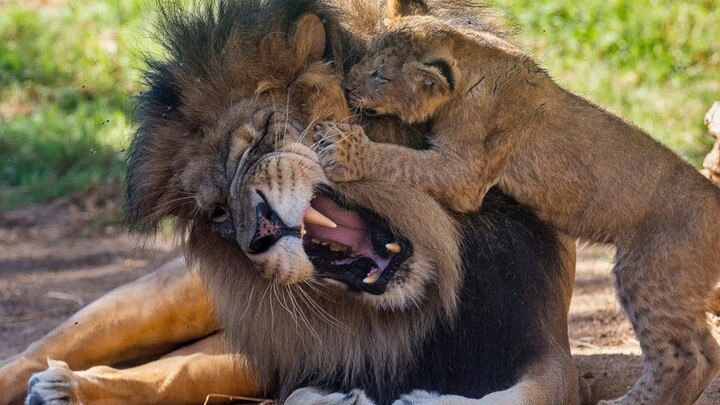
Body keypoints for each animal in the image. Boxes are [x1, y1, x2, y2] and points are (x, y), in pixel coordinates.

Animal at [0, 1, 580, 404]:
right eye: (215, 212)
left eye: (259, 137)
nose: (256, 231)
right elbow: (300, 392)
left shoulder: (541, 344)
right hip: (157, 302)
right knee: (34, 354)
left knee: (165, 373)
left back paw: (63, 388)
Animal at [311, 3, 720, 404]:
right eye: (365, 58)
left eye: (380, 75)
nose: (347, 85)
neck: (471, 64)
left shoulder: (463, 174)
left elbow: (399, 160)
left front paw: (342, 149)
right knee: (708, 351)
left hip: (648, 275)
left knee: (684, 358)